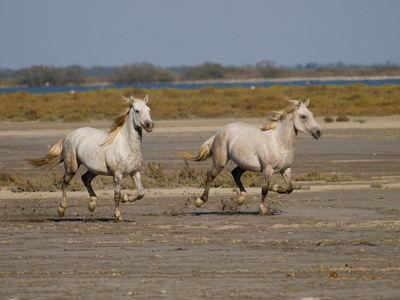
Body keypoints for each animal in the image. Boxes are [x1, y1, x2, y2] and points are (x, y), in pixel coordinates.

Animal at [26, 96, 154, 220]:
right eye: (137, 111)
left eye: (148, 110)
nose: (149, 125)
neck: (127, 147)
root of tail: (70, 134)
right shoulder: (117, 175)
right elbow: (117, 195)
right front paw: (118, 215)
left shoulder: (135, 172)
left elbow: (141, 193)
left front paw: (126, 198)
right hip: (72, 167)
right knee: (64, 182)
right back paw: (62, 209)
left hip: (95, 170)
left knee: (85, 178)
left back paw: (92, 204)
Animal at [180, 99, 322, 214]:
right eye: (303, 116)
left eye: (312, 114)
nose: (318, 132)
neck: (279, 142)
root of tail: (218, 132)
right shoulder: (268, 169)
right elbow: (264, 189)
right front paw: (263, 209)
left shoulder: (285, 169)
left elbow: (289, 188)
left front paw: (276, 187)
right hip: (220, 161)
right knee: (211, 175)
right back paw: (200, 201)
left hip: (244, 164)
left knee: (235, 173)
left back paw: (241, 199)